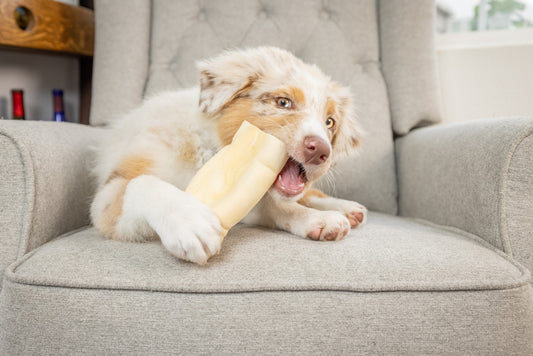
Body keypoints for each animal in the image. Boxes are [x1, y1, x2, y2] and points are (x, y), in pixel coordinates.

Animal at [90, 46, 366, 264]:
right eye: (283, 102)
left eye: (329, 122)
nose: (320, 150)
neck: (214, 152)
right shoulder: (109, 198)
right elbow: (142, 183)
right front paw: (189, 221)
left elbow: (278, 206)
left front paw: (317, 219)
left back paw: (347, 208)